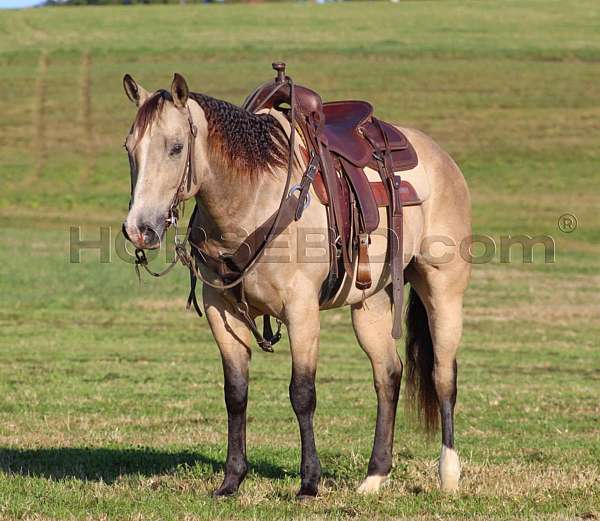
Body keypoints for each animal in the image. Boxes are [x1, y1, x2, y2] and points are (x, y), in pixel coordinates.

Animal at [119, 63, 472, 498]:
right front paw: (232, 479)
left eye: (175, 147)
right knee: (388, 375)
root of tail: (441, 158)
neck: (253, 197)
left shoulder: (301, 310)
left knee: (443, 376)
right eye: (129, 148)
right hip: (370, 301)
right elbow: (236, 393)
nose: (139, 229)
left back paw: (448, 473)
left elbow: (302, 393)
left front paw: (309, 481)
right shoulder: (223, 312)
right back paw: (374, 476)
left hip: (442, 289)